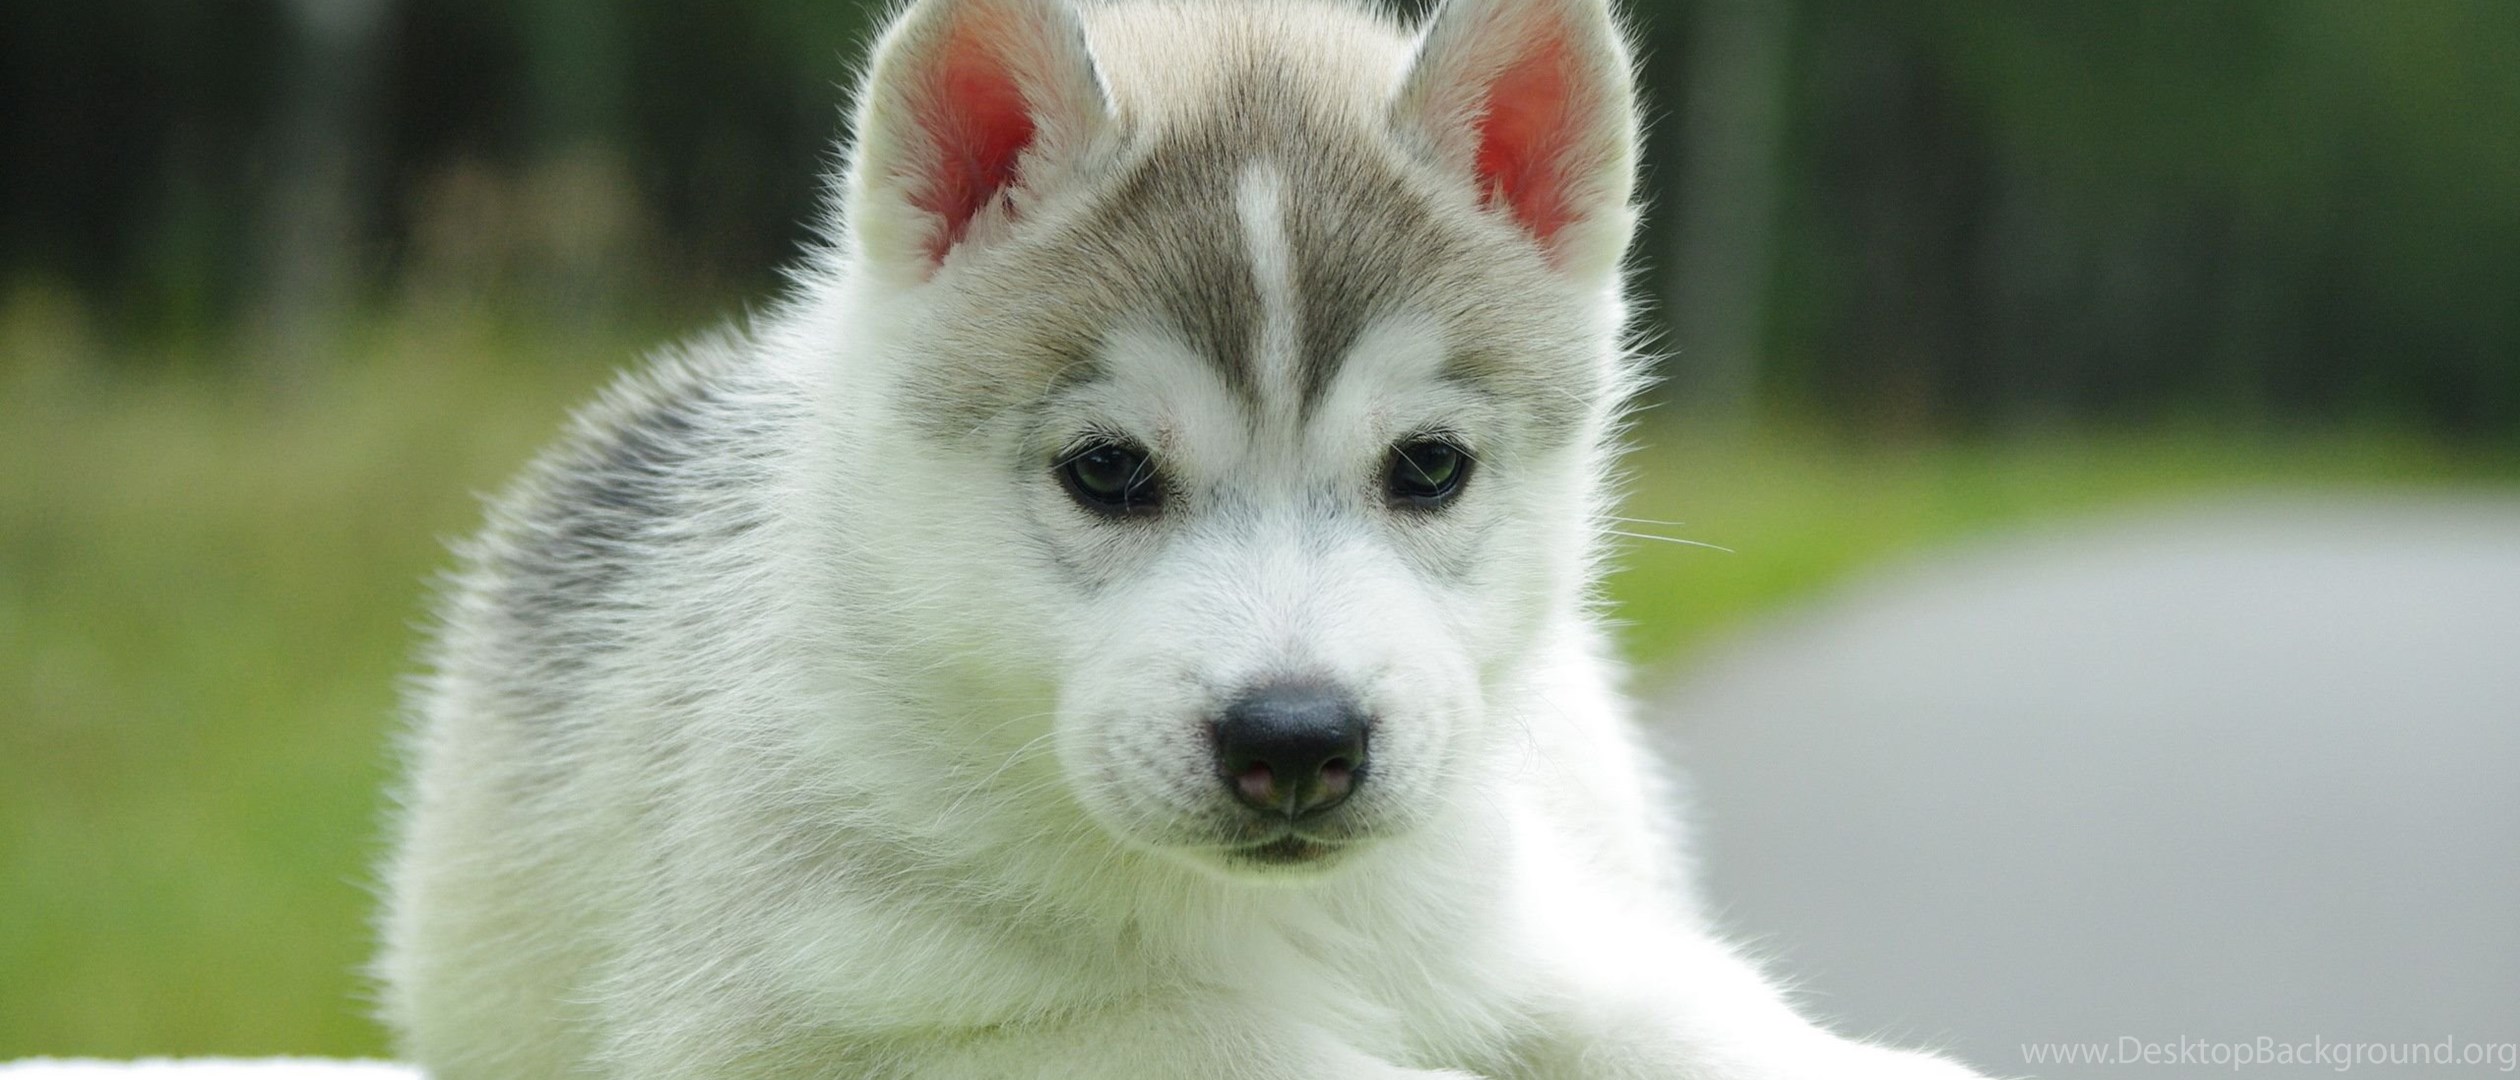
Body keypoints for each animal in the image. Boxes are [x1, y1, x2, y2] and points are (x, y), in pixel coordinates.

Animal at [376, 0, 1991, 1076]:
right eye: (1107, 472)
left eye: (1428, 467)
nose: (1298, 739)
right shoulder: (807, 1018)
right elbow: (1210, 1044)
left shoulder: (1525, 930)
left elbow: (1674, 1009)